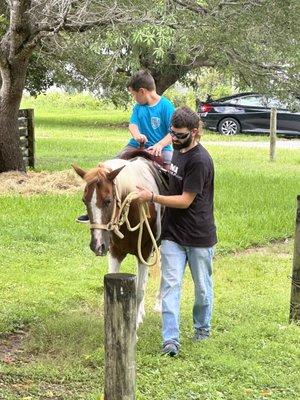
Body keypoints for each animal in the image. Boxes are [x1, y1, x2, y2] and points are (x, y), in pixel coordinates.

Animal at [74, 155, 164, 326]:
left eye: (108, 200)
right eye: (84, 200)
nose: (97, 245)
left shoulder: (144, 252)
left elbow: (139, 291)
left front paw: (135, 324)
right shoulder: (115, 252)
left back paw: (158, 304)